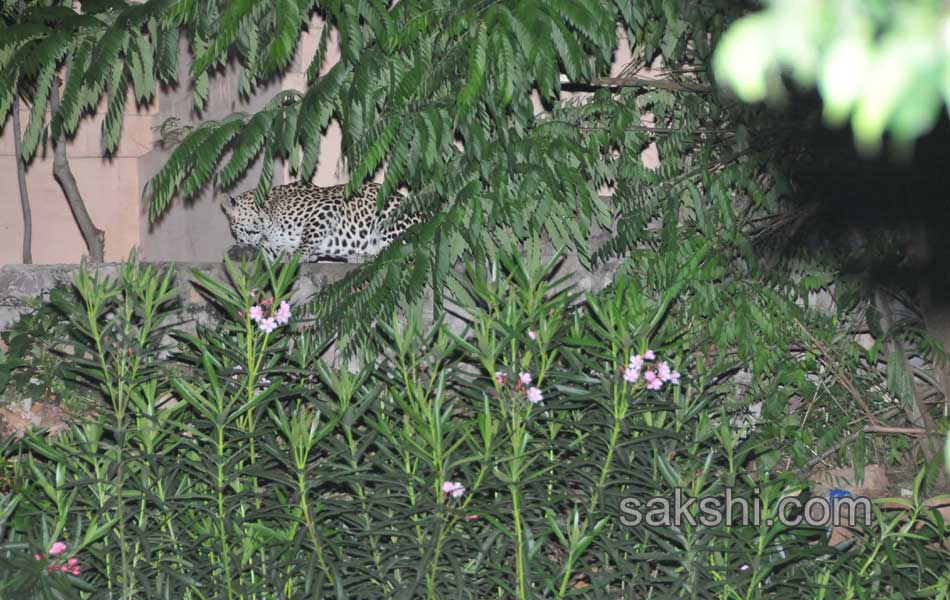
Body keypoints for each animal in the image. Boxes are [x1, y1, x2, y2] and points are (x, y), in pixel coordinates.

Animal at [221, 179, 422, 262]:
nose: (241, 241)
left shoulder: (327, 207)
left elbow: (309, 236)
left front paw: (300, 255)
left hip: (390, 216)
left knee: (402, 249)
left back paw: (362, 256)